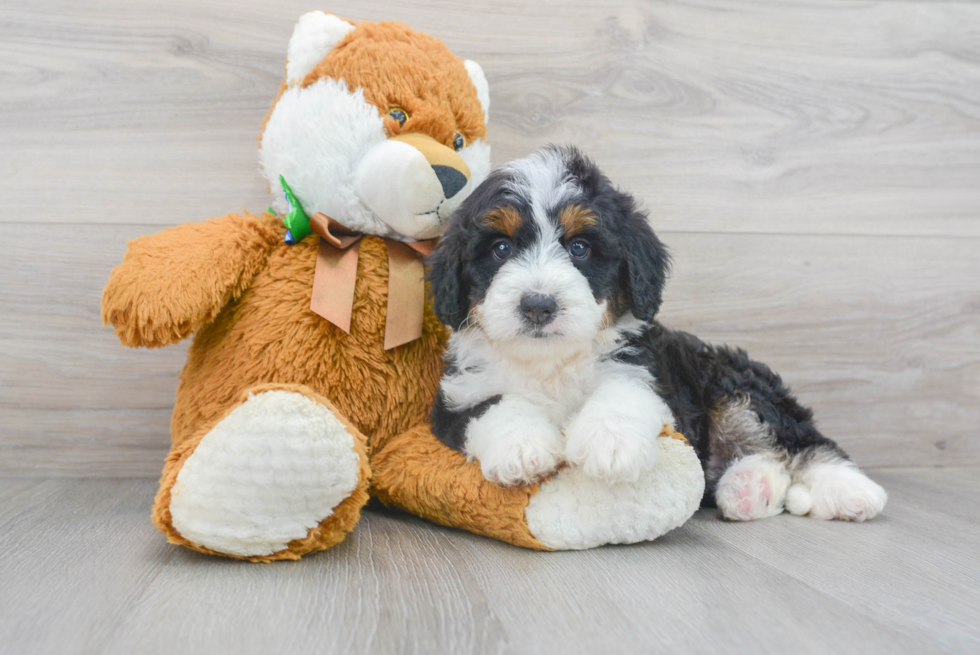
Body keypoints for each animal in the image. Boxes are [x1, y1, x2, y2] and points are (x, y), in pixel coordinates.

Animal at [428, 145, 888, 524]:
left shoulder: (648, 371)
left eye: (580, 248)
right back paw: (749, 489)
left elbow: (622, 390)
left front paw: (610, 444)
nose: (538, 304)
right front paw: (522, 447)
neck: (551, 363)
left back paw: (851, 490)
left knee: (798, 441)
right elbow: (493, 405)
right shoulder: (456, 398)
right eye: (500, 249)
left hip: (735, 382)